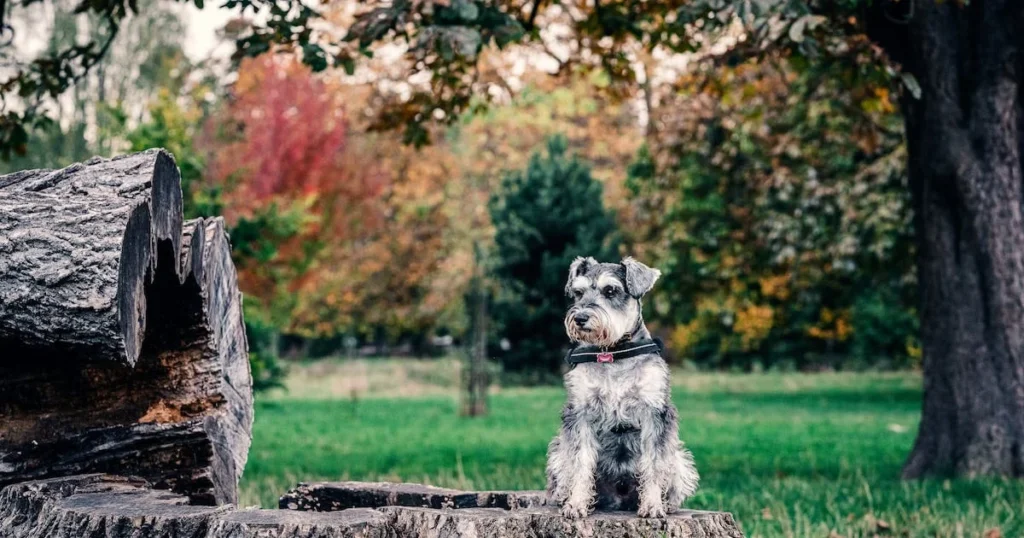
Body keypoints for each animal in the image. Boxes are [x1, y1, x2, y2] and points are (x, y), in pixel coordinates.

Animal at [548, 258, 700, 518]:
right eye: (578, 293)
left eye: (610, 291)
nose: (580, 318)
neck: (612, 354)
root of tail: (619, 499)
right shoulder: (580, 413)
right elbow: (580, 462)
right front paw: (576, 504)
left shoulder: (654, 412)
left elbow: (654, 464)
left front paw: (653, 505)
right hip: (558, 450)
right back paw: (562, 497)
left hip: (679, 457)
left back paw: (668, 503)